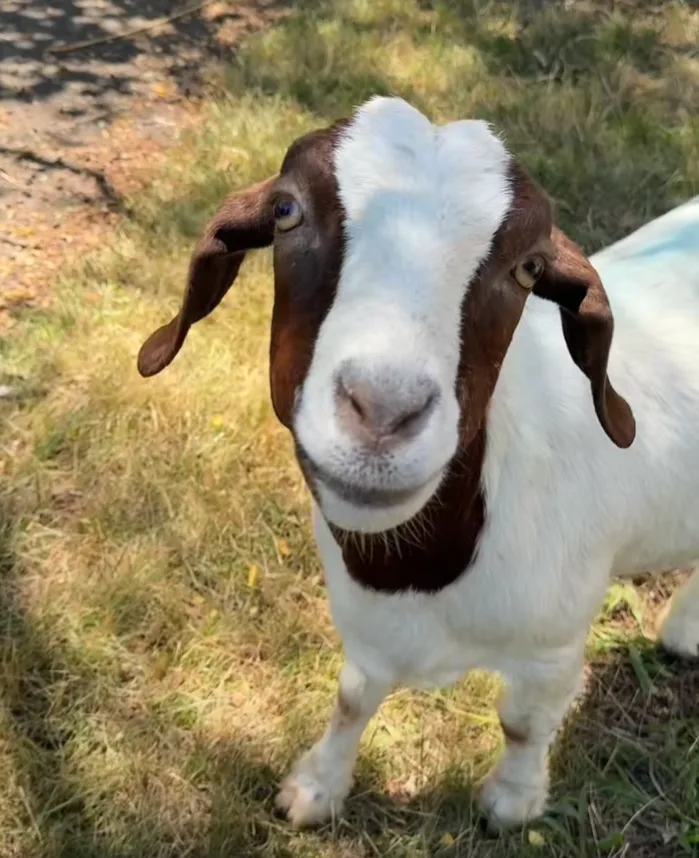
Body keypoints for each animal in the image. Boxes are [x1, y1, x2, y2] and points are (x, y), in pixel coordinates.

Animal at [137, 96, 699, 830]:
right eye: (286, 211)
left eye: (527, 268)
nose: (382, 411)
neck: (421, 570)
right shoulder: (368, 626)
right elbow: (353, 696)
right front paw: (315, 787)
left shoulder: (554, 642)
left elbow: (523, 723)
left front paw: (511, 802)